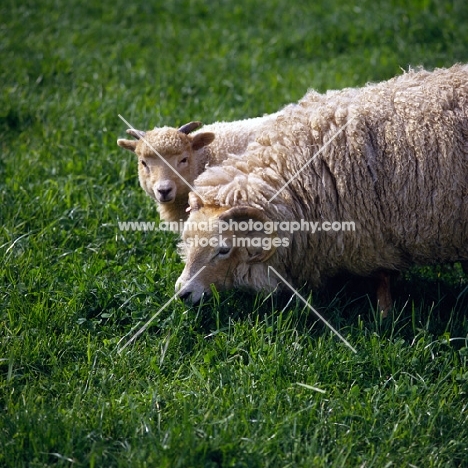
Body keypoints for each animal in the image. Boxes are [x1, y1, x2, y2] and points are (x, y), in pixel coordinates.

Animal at [175, 63, 468, 310]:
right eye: (188, 241)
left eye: (223, 250)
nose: (182, 293)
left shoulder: (377, 234)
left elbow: (383, 279)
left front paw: (384, 316)